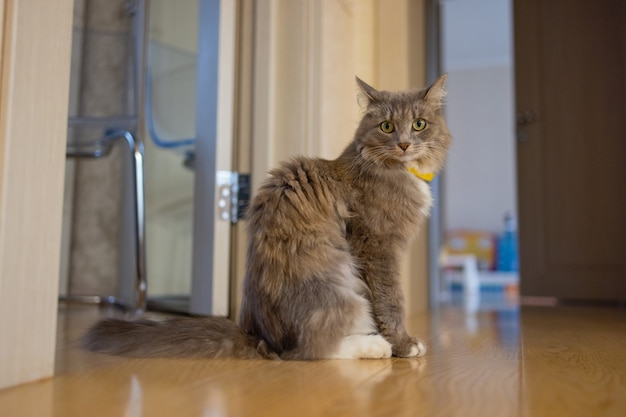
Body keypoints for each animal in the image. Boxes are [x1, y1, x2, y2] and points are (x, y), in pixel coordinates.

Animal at [83, 74, 450, 358]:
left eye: (419, 124)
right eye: (387, 126)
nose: (404, 144)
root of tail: (259, 335)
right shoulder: (378, 247)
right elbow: (391, 302)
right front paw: (404, 345)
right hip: (340, 284)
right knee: (311, 350)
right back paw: (373, 347)